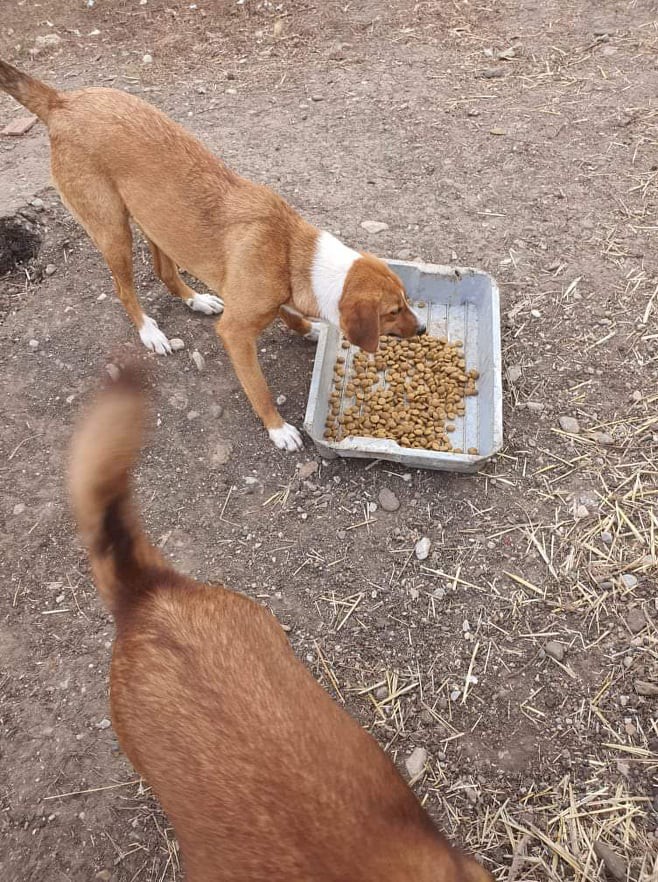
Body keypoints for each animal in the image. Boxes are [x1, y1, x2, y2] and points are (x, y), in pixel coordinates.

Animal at [1, 60, 425, 451]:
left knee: (165, 271)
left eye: (407, 301)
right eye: (392, 312)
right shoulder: (236, 334)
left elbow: (291, 316)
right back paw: (151, 333)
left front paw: (311, 330)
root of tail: (61, 101)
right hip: (114, 231)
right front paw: (278, 429)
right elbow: (259, 389)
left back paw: (197, 300)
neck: (292, 253)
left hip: (156, 222)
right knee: (125, 290)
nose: (422, 329)